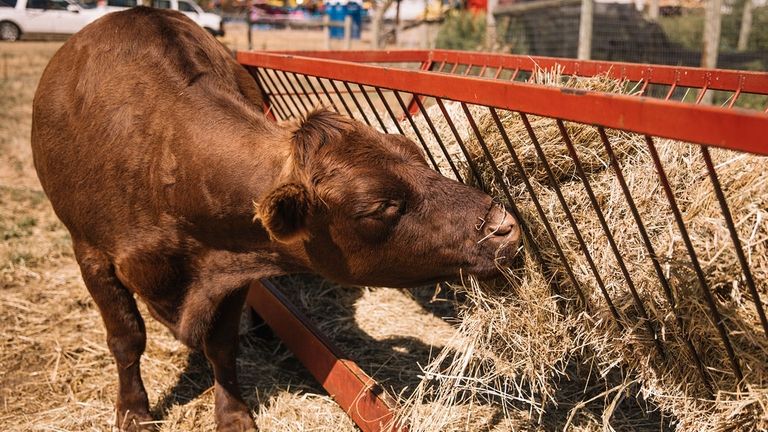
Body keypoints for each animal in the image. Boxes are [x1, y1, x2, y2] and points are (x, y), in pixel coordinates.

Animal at [31, 6, 520, 432]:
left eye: (417, 155)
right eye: (380, 206)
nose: (505, 226)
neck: (161, 157)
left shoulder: (233, 264)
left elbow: (222, 344)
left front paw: (232, 414)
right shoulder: (92, 256)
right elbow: (127, 338)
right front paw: (134, 412)